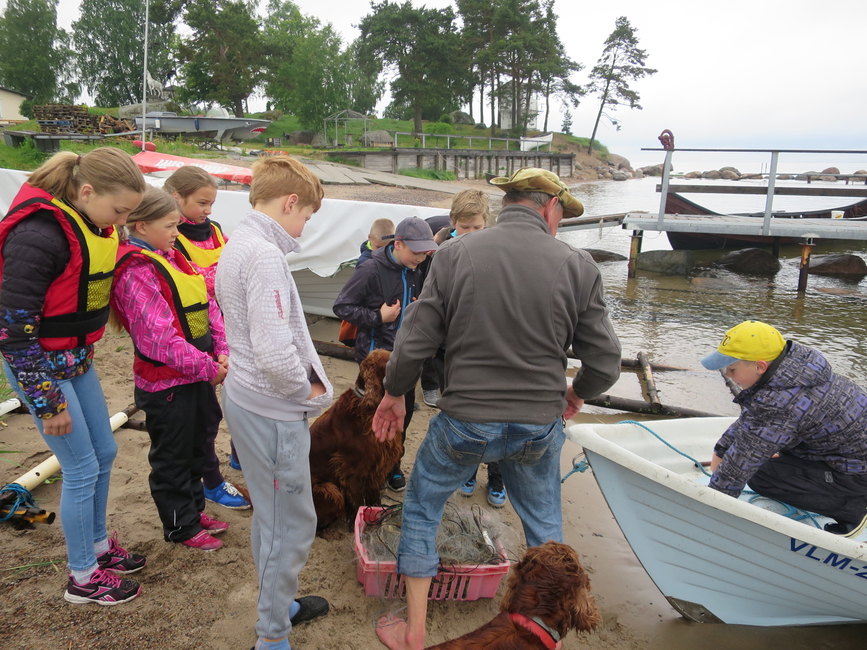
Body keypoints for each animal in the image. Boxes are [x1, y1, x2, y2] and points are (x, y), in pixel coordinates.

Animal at [306, 350, 402, 528]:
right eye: (390, 361)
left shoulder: (376, 465)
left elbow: (374, 497)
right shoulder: (351, 470)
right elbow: (358, 502)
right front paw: (356, 524)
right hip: (330, 489)